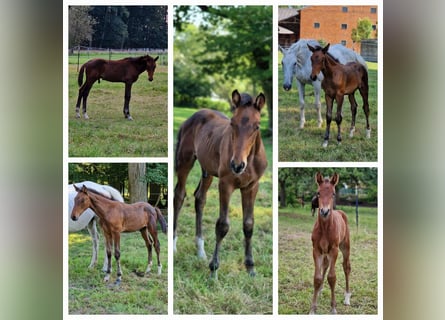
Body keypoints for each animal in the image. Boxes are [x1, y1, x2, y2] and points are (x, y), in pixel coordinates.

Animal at [172, 89, 266, 278]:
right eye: (232, 123)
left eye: (257, 126)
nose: (237, 165)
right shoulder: (225, 184)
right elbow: (222, 225)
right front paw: (213, 270)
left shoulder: (251, 187)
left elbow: (248, 225)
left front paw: (250, 268)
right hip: (185, 162)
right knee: (179, 196)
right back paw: (173, 246)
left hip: (207, 170)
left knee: (200, 199)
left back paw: (200, 250)